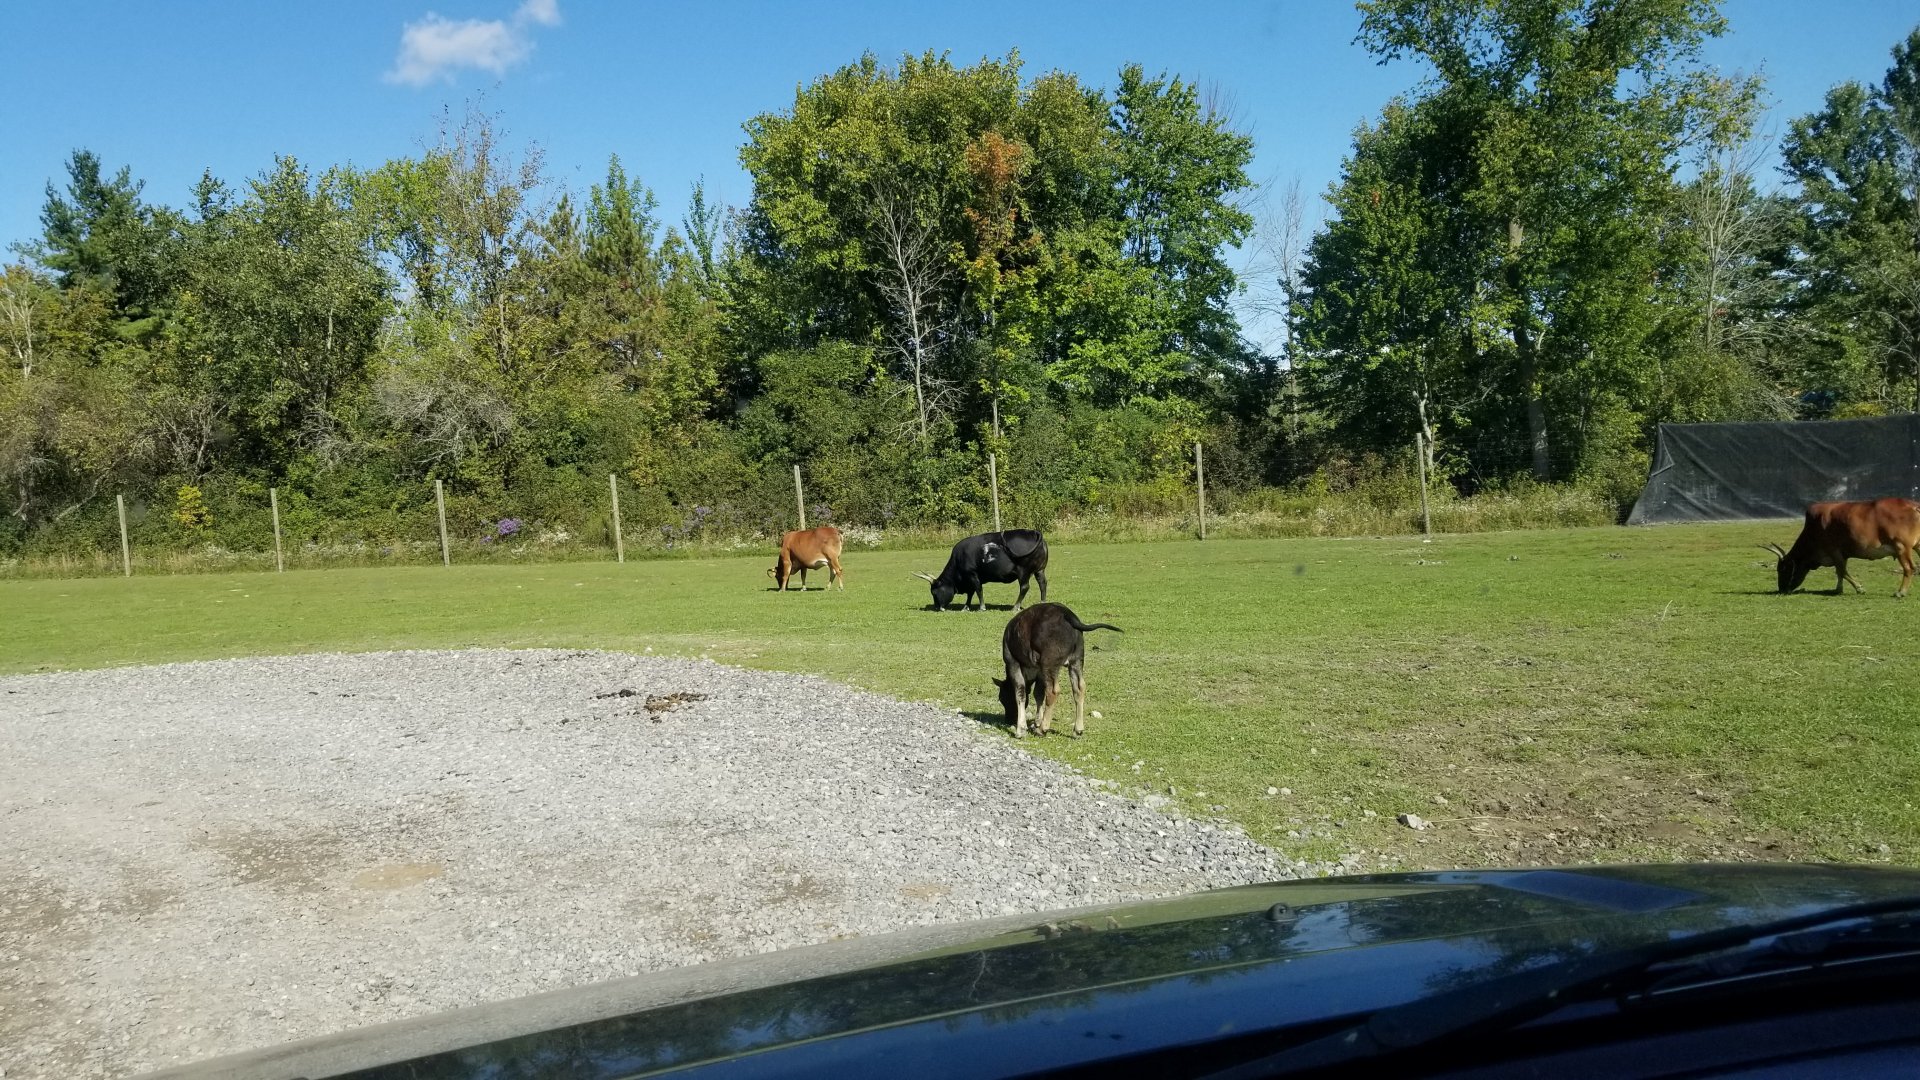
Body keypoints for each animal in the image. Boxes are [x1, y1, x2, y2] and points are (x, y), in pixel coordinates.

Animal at [913, 529, 1049, 611]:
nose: (937, 607)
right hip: (1040, 570)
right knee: (1042, 584)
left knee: (1024, 587)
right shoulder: (971, 578)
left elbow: (978, 590)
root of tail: (1034, 532)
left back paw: (1015, 607)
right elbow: (971, 593)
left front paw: (982, 607)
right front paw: (966, 607)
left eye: (934, 592)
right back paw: (1042, 602)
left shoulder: (972, 575)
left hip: (1023, 571)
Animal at [993, 603, 1122, 739]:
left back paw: (1043, 729)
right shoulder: (1039, 671)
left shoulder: (1012, 661)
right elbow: (1038, 693)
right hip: (1076, 659)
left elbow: (1020, 693)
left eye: (1003, 698)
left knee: (1053, 691)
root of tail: (1066, 613)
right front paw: (1036, 722)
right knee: (1079, 687)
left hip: (1049, 661)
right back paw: (1077, 730)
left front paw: (1022, 729)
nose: (1008, 720)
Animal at [1764, 497, 1920, 597]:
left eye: (1783, 569)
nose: (1781, 589)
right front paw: (1838, 589)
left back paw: (1900, 592)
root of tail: (1914, 506)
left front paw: (1859, 588)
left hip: (1901, 547)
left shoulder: (1835, 551)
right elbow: (1839, 573)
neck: (1813, 528)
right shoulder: (1842, 555)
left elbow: (1842, 571)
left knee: (1909, 568)